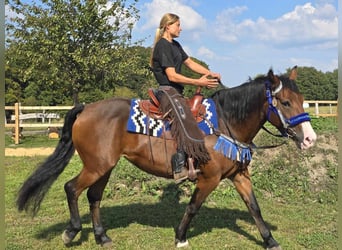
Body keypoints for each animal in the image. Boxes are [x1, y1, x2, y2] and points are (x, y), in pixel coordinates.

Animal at [16, 67, 316, 250]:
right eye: (285, 102)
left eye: (302, 98)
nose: (310, 139)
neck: (226, 122)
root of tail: (86, 107)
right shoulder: (209, 178)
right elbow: (193, 207)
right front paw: (180, 237)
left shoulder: (239, 175)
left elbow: (254, 207)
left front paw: (270, 239)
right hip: (96, 166)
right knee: (71, 188)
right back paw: (72, 231)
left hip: (104, 167)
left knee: (93, 196)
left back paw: (101, 236)